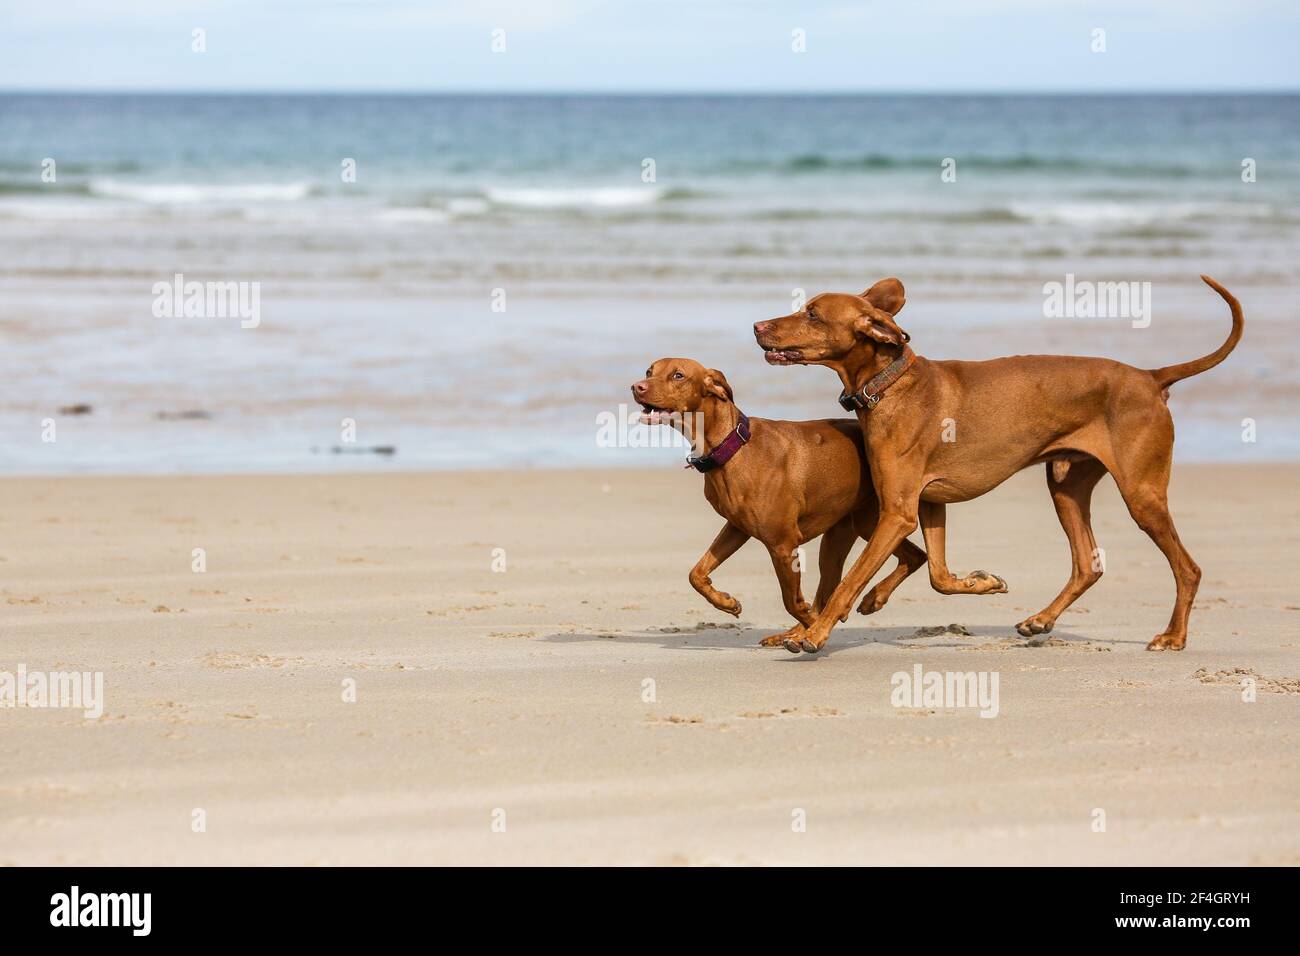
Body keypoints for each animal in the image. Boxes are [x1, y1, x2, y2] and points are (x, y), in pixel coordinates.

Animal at [634, 356, 1008, 647]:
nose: (637, 386)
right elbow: (696, 573)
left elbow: (791, 600)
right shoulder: (737, 528)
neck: (732, 447)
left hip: (872, 521)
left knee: (893, 564)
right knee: (904, 560)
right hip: (849, 530)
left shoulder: (783, 543)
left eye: (678, 375)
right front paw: (726, 602)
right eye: (650, 370)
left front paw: (810, 625)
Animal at [754, 273, 1237, 655]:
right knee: (1088, 564)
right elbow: (939, 576)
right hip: (1066, 488)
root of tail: (1150, 378)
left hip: (1141, 495)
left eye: (813, 314)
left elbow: (848, 582)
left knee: (1187, 568)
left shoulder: (899, 513)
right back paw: (1041, 619)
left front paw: (813, 634)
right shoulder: (930, 504)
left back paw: (1173, 637)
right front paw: (979, 582)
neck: (890, 384)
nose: (757, 325)